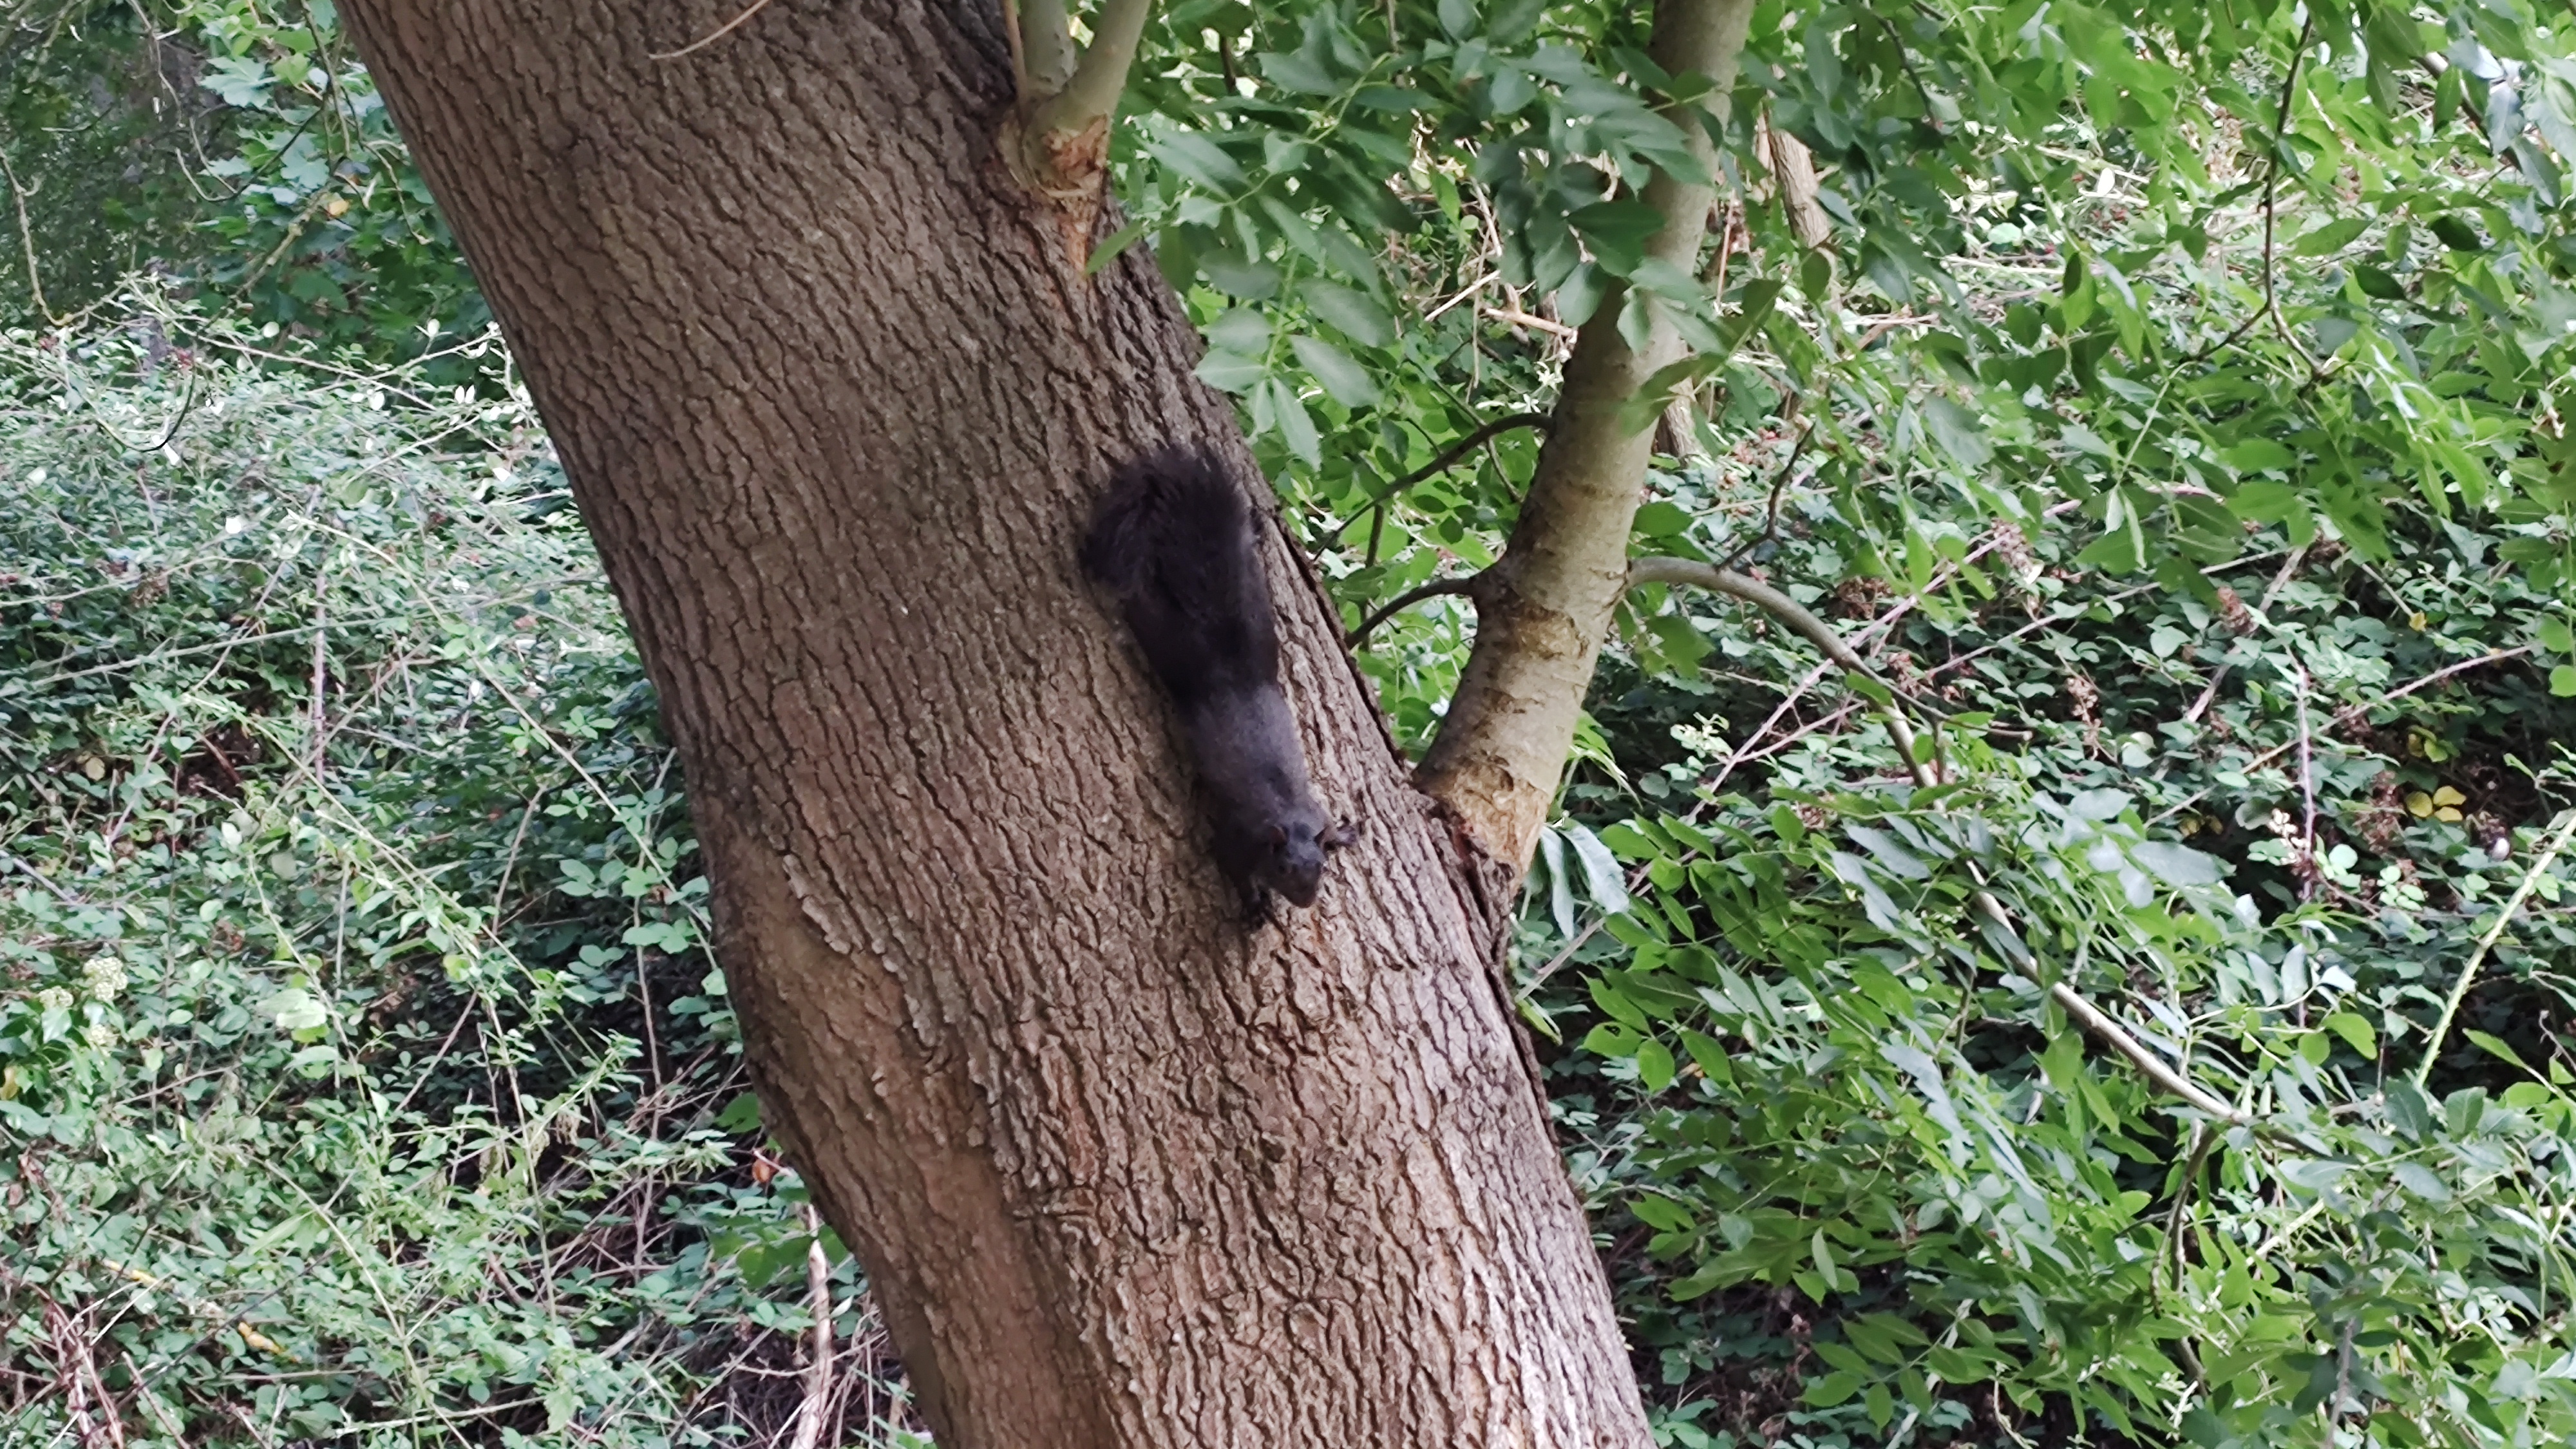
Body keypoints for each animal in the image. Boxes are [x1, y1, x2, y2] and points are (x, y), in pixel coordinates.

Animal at [1082, 443, 1360, 913]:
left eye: (1320, 867)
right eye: (1283, 869)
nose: (1305, 902)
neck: (1289, 816)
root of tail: (1228, 657)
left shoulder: (1313, 812)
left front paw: (1342, 834)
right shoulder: (1239, 838)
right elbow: (1230, 866)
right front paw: (1255, 905)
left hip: (1257, 606)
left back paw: (1257, 528)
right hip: (1175, 647)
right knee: (1147, 615)